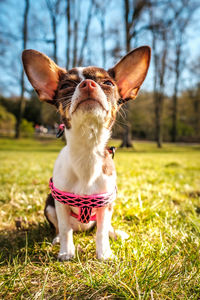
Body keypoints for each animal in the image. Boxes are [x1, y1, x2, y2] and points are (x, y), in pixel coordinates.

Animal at [22, 47, 150, 260]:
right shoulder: (60, 203)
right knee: (61, 228)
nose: (87, 84)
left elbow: (101, 232)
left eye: (108, 83)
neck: (88, 150)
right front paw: (66, 252)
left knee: (103, 227)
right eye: (66, 85)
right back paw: (58, 239)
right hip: (49, 205)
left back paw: (115, 233)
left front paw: (104, 254)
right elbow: (65, 229)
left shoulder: (106, 204)